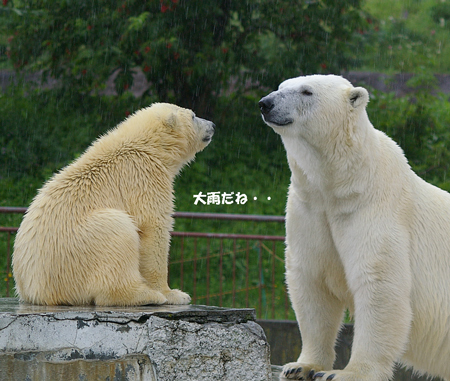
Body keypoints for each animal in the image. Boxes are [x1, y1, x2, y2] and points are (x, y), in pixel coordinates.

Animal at [11, 102, 214, 304]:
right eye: (193, 116)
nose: (212, 125)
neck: (148, 147)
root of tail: (35, 292)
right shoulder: (144, 178)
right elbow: (154, 228)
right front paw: (174, 294)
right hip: (77, 249)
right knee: (118, 230)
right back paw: (145, 295)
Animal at [258, 75, 450, 380]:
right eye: (281, 86)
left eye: (306, 91)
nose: (266, 103)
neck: (341, 184)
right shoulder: (310, 208)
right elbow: (312, 282)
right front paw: (301, 366)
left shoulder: (375, 207)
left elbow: (379, 285)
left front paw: (345, 373)